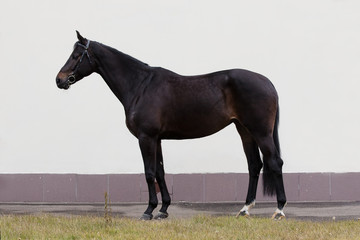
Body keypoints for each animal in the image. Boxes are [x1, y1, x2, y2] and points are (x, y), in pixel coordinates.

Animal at [56, 31, 286, 221]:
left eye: (76, 55)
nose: (59, 80)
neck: (140, 85)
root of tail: (267, 83)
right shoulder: (156, 139)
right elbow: (160, 172)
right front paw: (164, 209)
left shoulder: (146, 138)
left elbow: (149, 173)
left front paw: (149, 211)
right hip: (244, 131)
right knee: (254, 165)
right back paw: (244, 209)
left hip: (261, 132)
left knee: (275, 162)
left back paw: (279, 210)